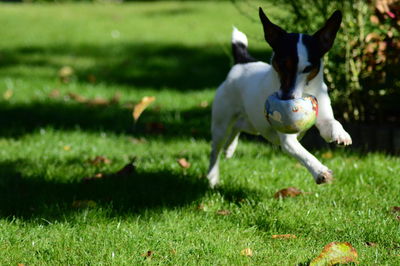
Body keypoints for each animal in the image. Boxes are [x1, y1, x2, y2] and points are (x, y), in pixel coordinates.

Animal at [208, 7, 352, 188]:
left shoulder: (323, 116)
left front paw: (341, 134)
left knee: (238, 126)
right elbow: (304, 154)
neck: (306, 91)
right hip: (222, 123)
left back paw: (230, 148)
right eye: (282, 64)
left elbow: (332, 124)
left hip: (254, 125)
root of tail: (242, 62)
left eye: (307, 69)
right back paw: (212, 176)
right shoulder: (288, 140)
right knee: (215, 150)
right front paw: (319, 171)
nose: (287, 97)